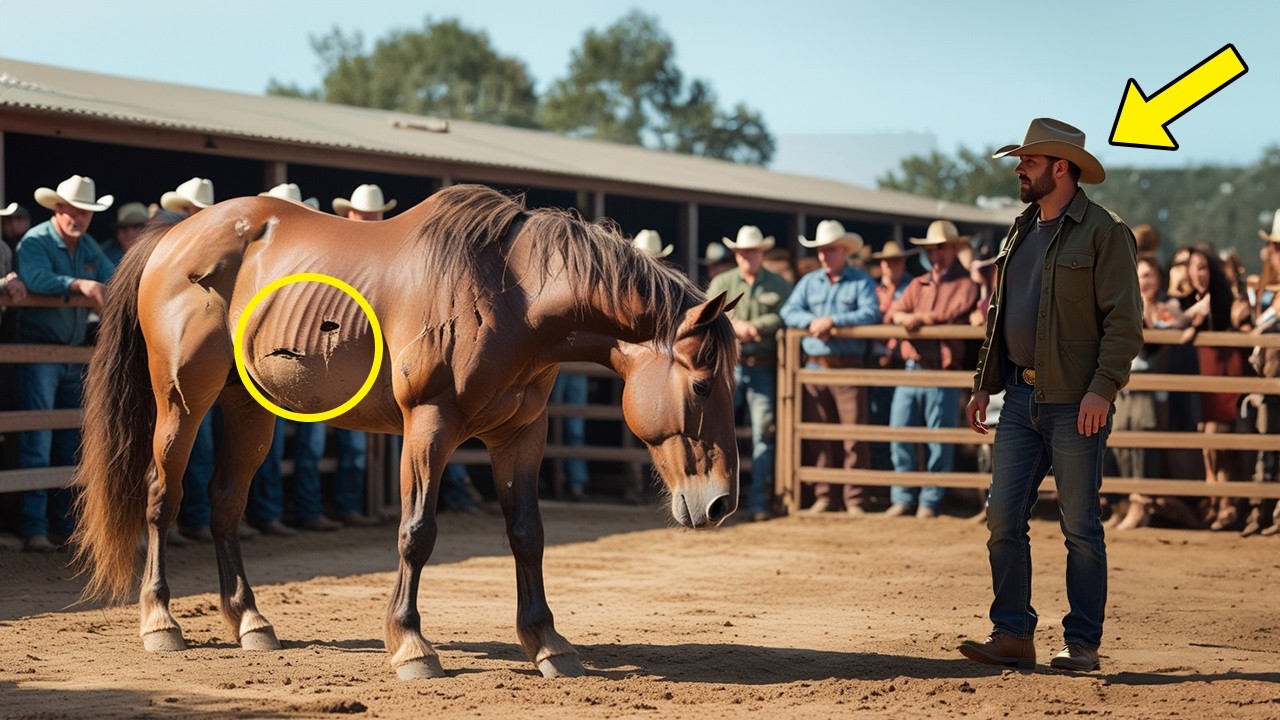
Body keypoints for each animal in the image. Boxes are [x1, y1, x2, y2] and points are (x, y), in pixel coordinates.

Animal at [70, 184, 741, 679]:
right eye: (704, 386)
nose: (721, 503)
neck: (513, 296)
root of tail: (173, 236)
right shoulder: (429, 424)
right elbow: (416, 533)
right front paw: (411, 645)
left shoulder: (521, 435)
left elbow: (528, 535)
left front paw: (548, 643)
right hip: (181, 402)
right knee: (163, 497)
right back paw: (161, 622)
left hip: (248, 409)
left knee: (225, 504)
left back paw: (250, 622)